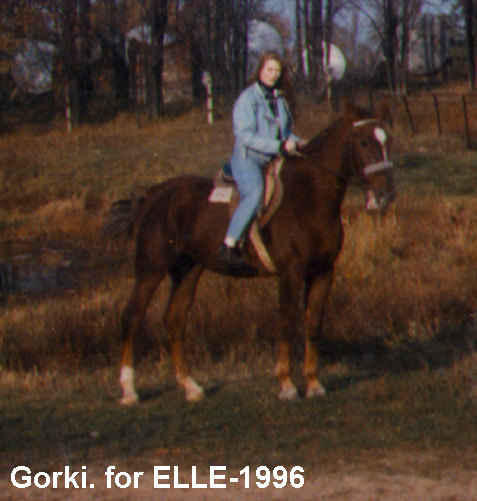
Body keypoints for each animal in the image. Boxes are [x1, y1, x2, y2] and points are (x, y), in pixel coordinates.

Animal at [104, 103, 394, 404]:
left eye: (389, 141)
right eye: (363, 142)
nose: (385, 194)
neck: (308, 198)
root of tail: (151, 195)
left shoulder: (323, 271)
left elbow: (313, 324)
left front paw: (314, 384)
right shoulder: (290, 273)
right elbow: (287, 323)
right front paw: (287, 385)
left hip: (187, 269)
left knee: (174, 320)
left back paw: (190, 386)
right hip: (150, 269)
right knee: (132, 317)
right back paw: (129, 390)